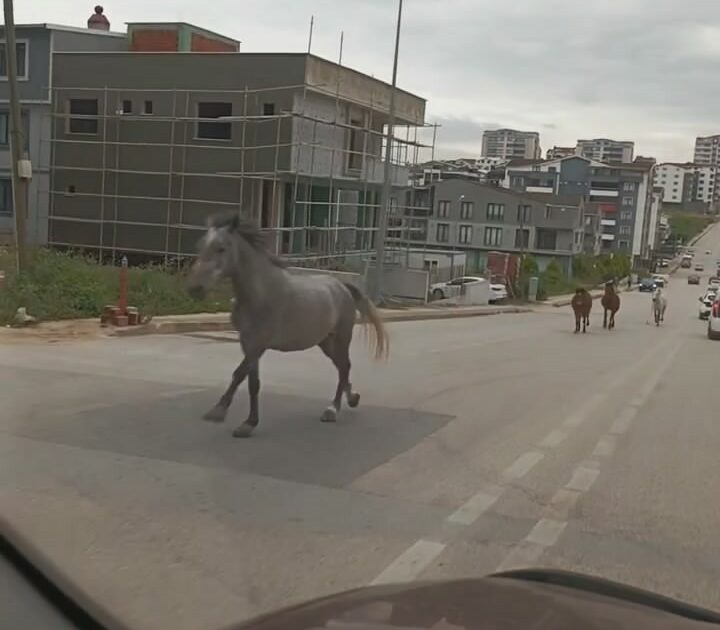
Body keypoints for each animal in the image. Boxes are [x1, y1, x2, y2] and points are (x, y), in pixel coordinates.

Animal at [186, 214, 388, 440]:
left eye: (221, 248)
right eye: (200, 246)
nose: (195, 288)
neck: (261, 294)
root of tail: (341, 286)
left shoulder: (259, 344)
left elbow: (239, 374)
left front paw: (219, 412)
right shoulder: (247, 343)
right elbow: (253, 383)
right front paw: (248, 423)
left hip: (342, 337)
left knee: (344, 367)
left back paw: (332, 410)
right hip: (325, 342)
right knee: (342, 367)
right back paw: (352, 398)